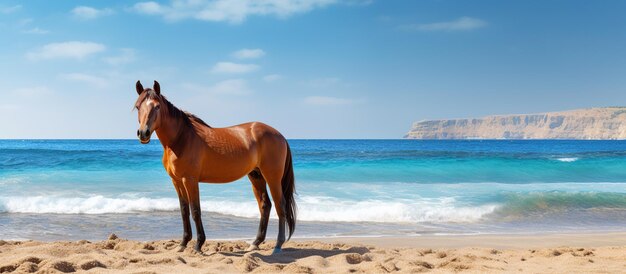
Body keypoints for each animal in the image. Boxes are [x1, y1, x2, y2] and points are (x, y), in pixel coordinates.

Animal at [133, 80, 294, 254]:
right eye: (137, 106)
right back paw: (255, 243)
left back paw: (277, 245)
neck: (181, 139)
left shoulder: (190, 180)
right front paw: (182, 244)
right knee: (265, 205)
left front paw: (198, 245)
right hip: (256, 175)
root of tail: (279, 135)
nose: (143, 133)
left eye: (157, 106)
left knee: (280, 206)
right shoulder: (176, 181)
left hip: (272, 177)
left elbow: (195, 211)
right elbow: (184, 211)